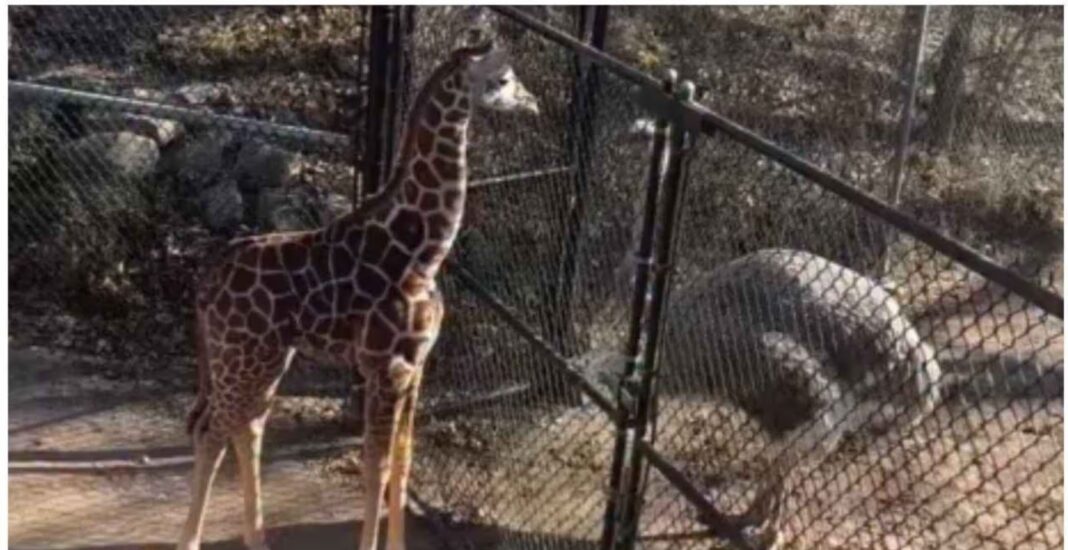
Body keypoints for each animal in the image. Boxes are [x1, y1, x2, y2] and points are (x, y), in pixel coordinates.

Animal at [176, 31, 539, 550]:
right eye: (504, 78)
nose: (533, 103)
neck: (424, 250)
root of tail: (207, 278)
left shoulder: (416, 367)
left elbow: (404, 463)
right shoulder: (387, 367)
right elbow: (377, 466)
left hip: (265, 358)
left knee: (247, 427)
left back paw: (258, 538)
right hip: (239, 356)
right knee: (211, 431)